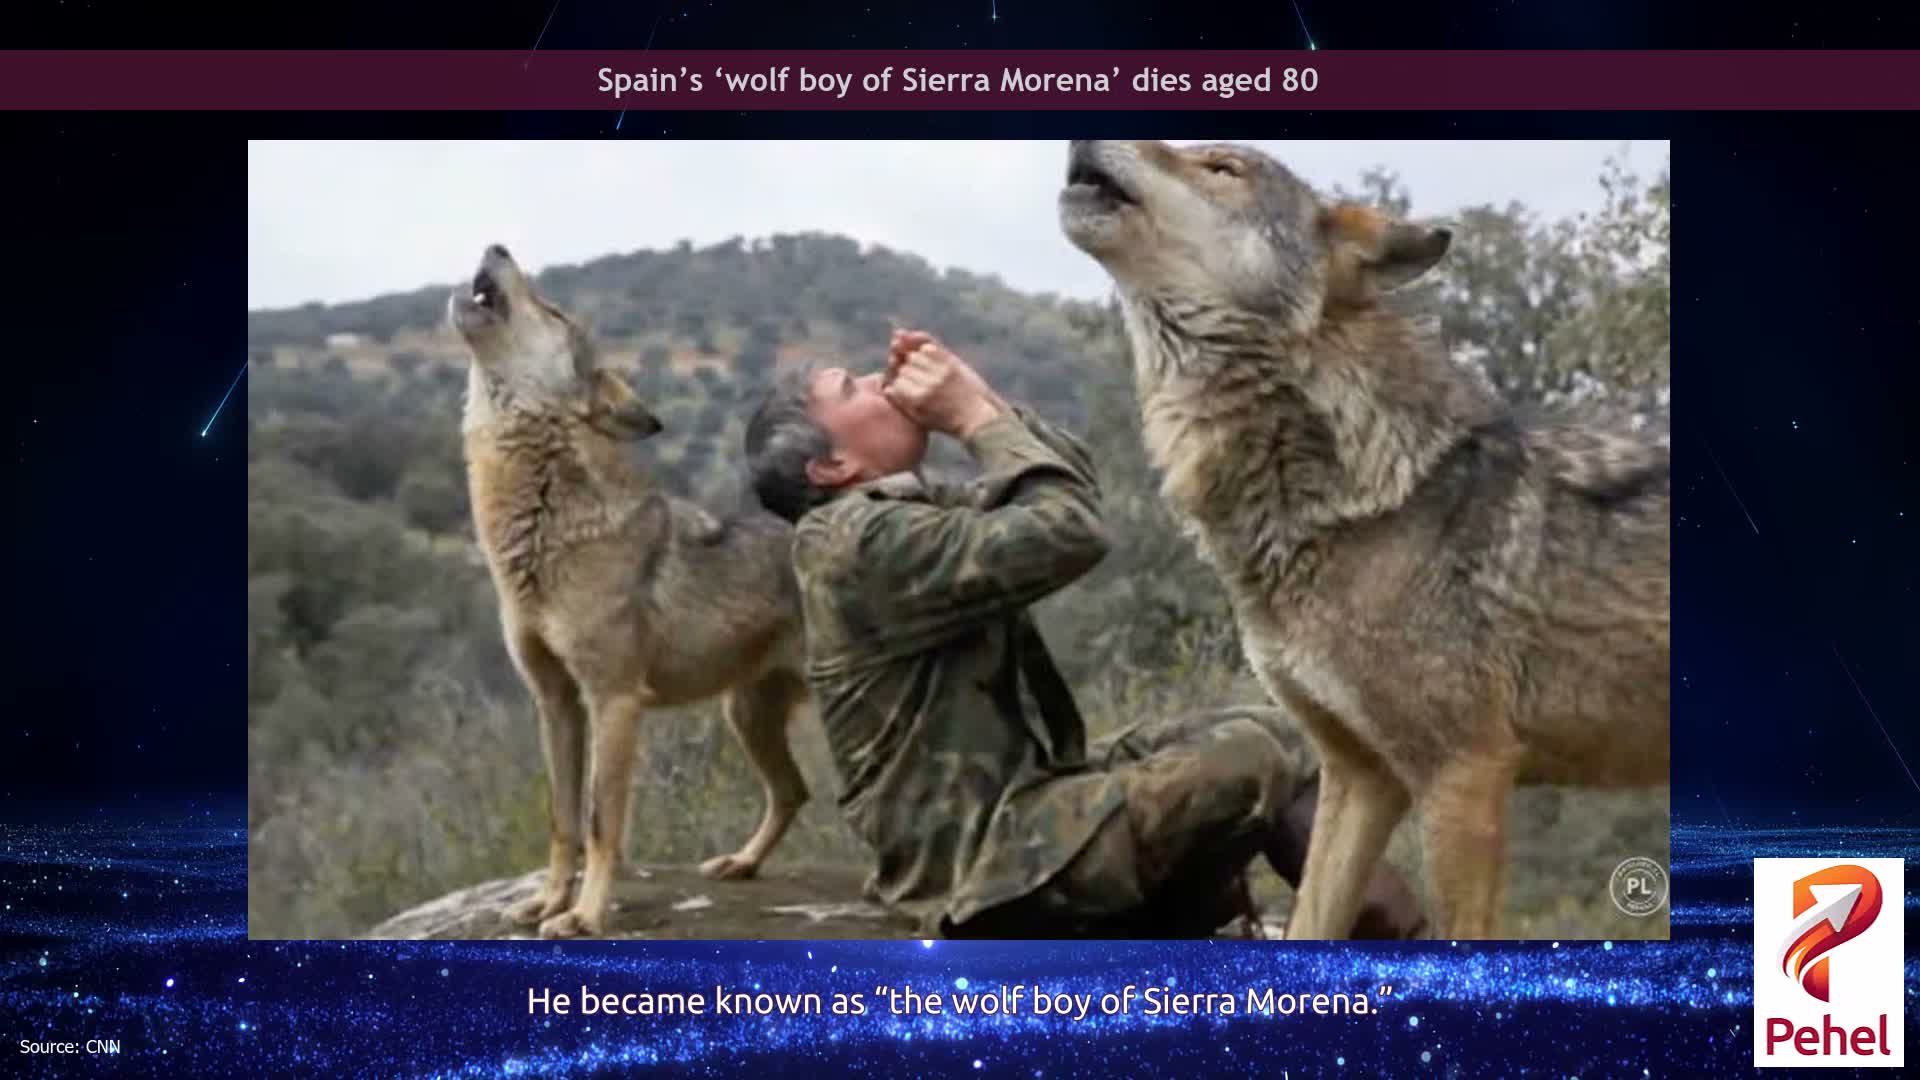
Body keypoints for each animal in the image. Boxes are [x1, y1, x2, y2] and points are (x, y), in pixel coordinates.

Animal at [449, 244, 811, 939]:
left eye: (555, 312)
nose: (498, 246)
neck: (543, 524)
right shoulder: (557, 703)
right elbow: (562, 819)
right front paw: (546, 903)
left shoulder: (614, 701)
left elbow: (599, 823)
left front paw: (585, 916)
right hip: (745, 716)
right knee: (793, 792)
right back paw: (741, 864)